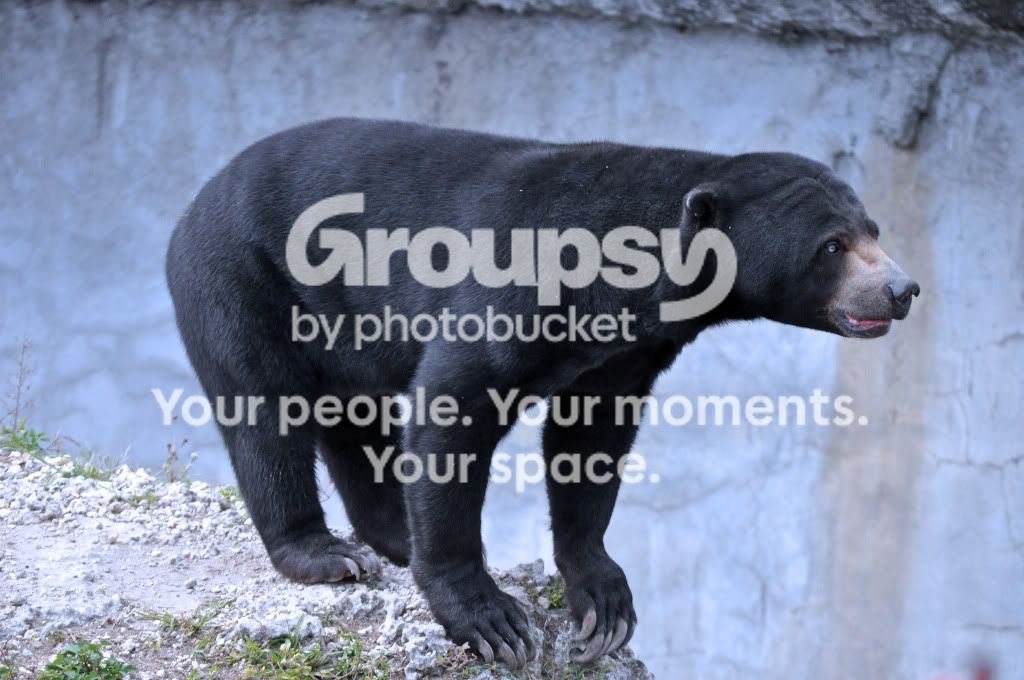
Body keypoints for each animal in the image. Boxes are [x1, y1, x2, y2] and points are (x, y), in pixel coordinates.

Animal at [165, 118, 919, 667]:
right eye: (831, 246)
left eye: (873, 230)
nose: (903, 289)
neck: (630, 278)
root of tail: (198, 198)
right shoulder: (519, 283)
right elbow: (454, 405)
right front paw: (489, 617)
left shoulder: (624, 351)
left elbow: (590, 440)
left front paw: (605, 601)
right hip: (243, 278)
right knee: (263, 409)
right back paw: (324, 552)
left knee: (352, 416)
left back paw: (389, 535)